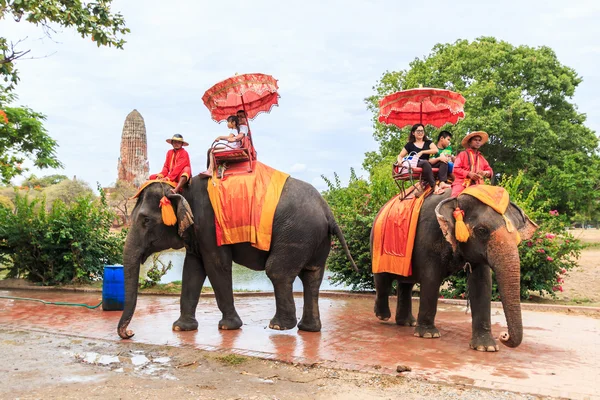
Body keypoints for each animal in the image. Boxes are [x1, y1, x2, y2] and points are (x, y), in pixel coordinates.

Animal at [119, 177, 358, 340]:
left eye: (145, 220)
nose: (130, 333)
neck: (182, 188)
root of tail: (328, 210)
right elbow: (193, 269)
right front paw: (180, 328)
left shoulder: (210, 227)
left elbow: (216, 266)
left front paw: (228, 326)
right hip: (316, 239)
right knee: (312, 276)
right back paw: (308, 329)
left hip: (298, 234)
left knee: (277, 272)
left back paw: (278, 326)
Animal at [372, 189, 536, 352]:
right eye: (482, 230)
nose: (503, 335)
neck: (457, 197)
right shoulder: (428, 237)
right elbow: (431, 278)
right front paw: (428, 335)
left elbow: (482, 283)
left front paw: (486, 347)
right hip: (377, 242)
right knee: (383, 281)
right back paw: (383, 316)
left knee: (406, 283)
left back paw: (406, 323)